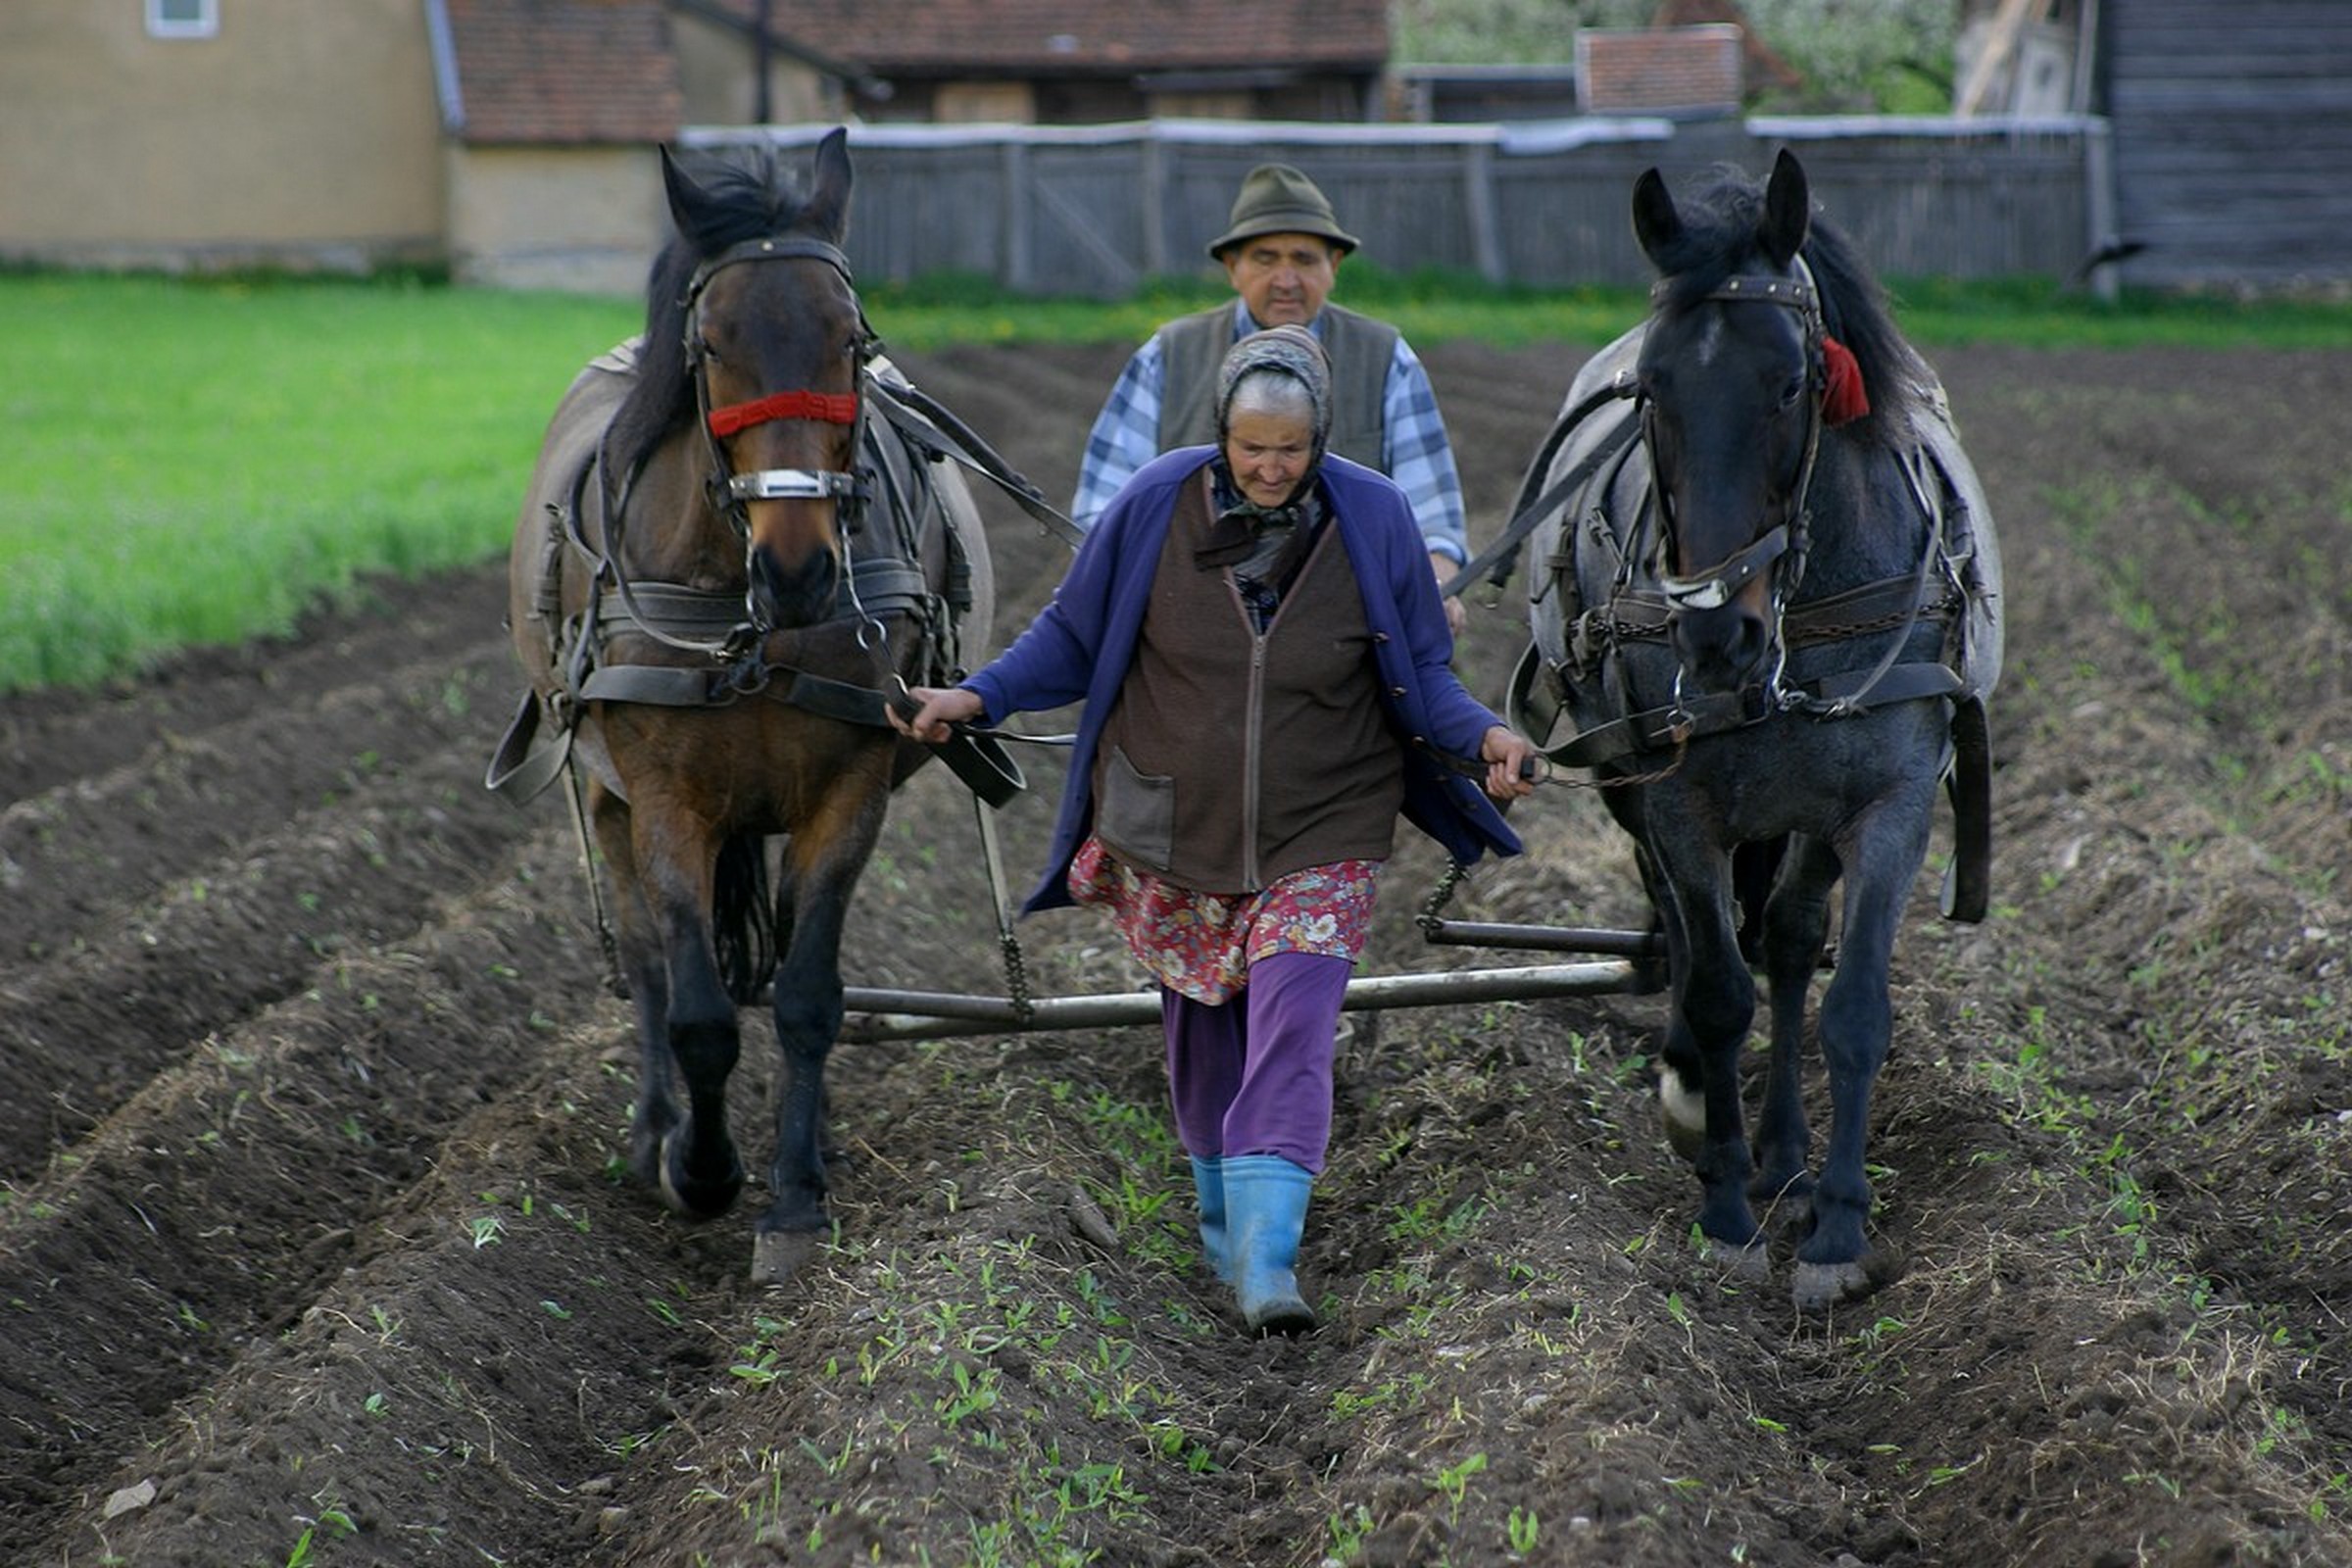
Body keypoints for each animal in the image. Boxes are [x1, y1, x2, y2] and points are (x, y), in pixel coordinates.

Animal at [501, 131, 997, 1288]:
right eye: (714, 345)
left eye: (849, 340)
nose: (801, 565)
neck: (749, 608)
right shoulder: (665, 796)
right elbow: (698, 1012)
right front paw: (703, 1169)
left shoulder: (850, 788)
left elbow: (810, 995)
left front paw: (796, 1197)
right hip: (605, 797)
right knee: (646, 960)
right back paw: (654, 1134)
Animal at [1514, 150, 1994, 1316]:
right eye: (1653, 391)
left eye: (1791, 383)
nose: (1711, 630)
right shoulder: (1677, 799)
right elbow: (1718, 988)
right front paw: (1727, 1208)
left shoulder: (1892, 803)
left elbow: (1850, 1002)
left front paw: (1837, 1228)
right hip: (1632, 784)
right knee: (1698, 945)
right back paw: (1703, 1105)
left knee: (1784, 935)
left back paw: (1784, 1153)